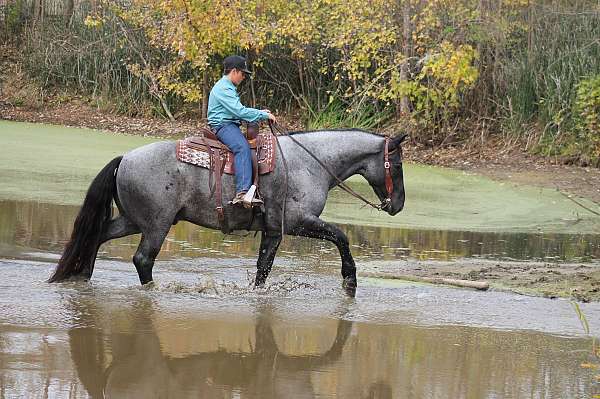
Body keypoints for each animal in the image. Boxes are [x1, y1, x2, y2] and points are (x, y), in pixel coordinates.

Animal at [48, 130, 408, 296]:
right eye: (397, 165)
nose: (398, 205)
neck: (310, 164)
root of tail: (124, 158)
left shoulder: (273, 231)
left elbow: (264, 266)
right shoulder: (297, 223)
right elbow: (341, 236)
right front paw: (350, 281)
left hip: (132, 220)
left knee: (96, 237)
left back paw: (81, 276)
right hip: (156, 225)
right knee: (143, 259)